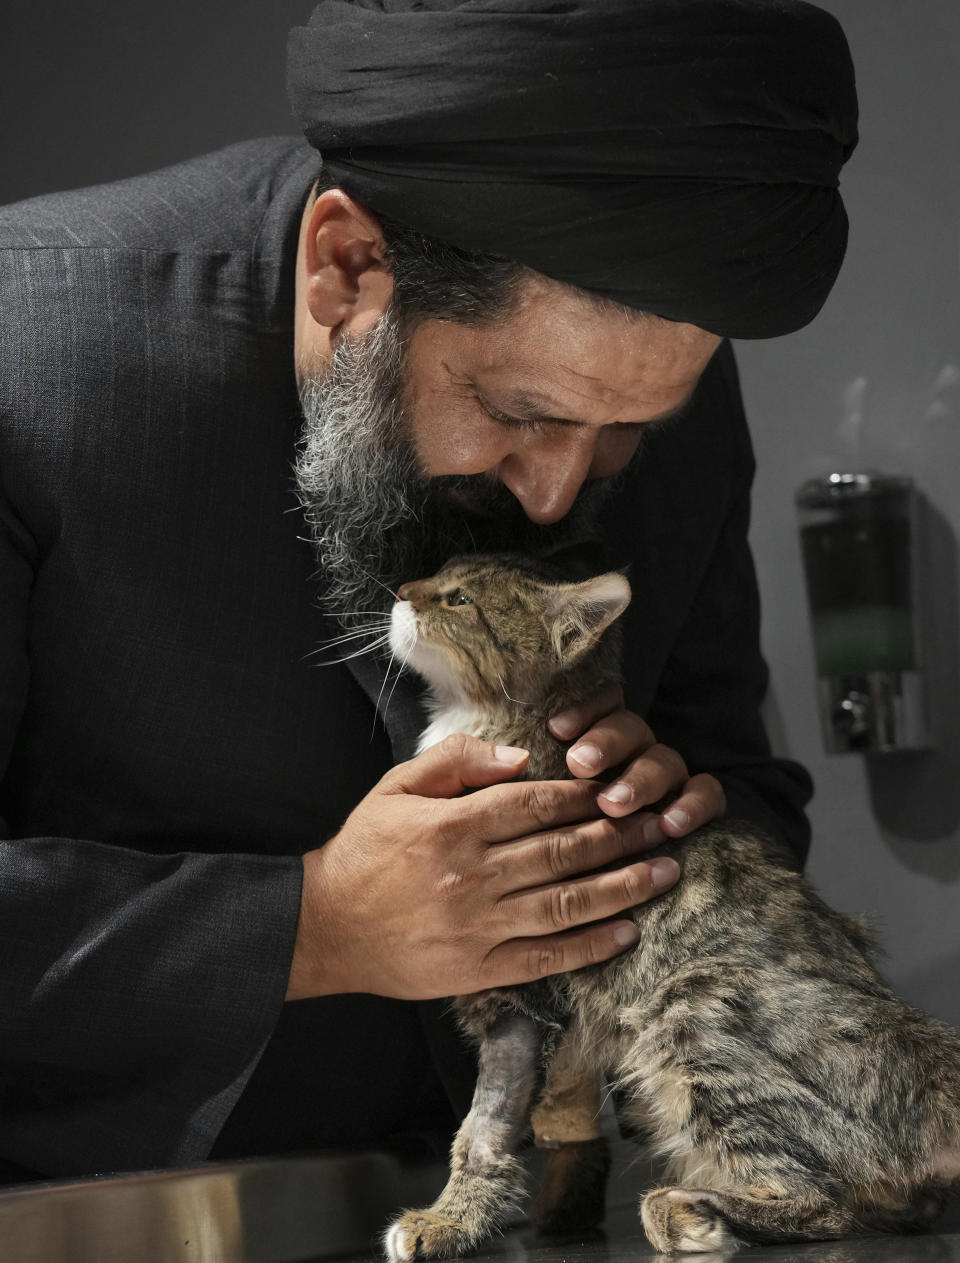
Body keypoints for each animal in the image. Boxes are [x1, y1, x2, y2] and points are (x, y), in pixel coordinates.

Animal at [381, 553, 959, 1252]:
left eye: (458, 599)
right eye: (436, 573)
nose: (401, 590)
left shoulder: (522, 997)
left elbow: (483, 1129)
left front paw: (446, 1219)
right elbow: (499, 1125)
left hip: (691, 1009)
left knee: (824, 1202)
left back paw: (689, 1211)